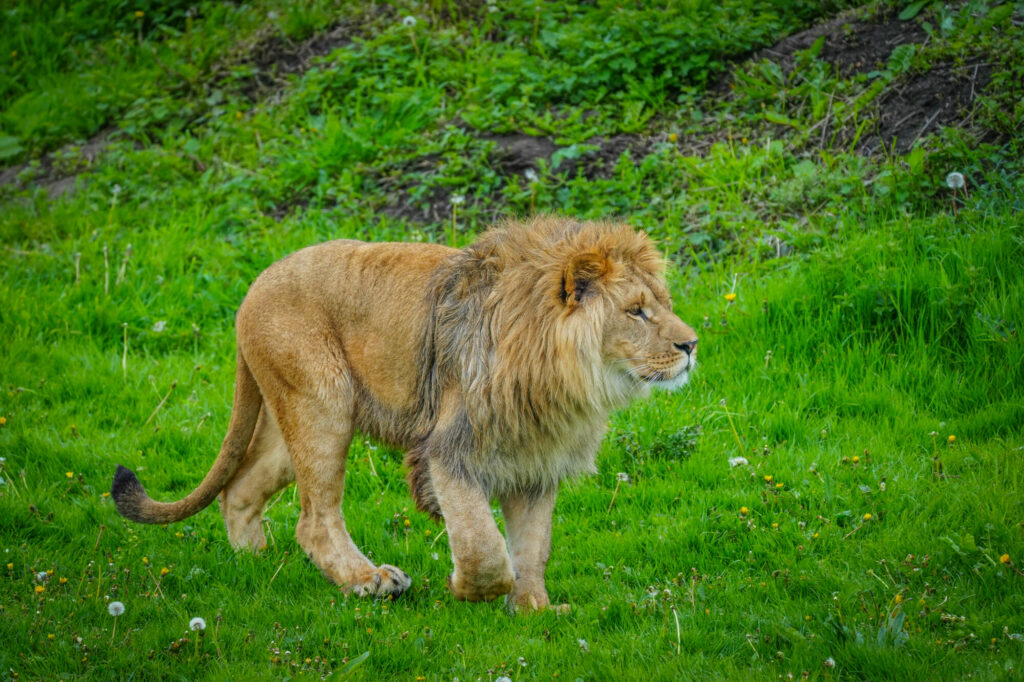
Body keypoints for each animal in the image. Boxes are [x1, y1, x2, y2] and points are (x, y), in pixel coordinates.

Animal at [111, 216, 698, 610]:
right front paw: (472, 590)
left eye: (664, 305)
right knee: (315, 519)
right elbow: (483, 542)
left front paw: (536, 609)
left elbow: (533, 547)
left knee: (240, 488)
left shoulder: (536, 461)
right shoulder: (449, 449)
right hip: (323, 404)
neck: (566, 380)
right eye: (636, 312)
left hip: (294, 416)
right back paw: (367, 580)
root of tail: (253, 288)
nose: (691, 345)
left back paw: (254, 563)